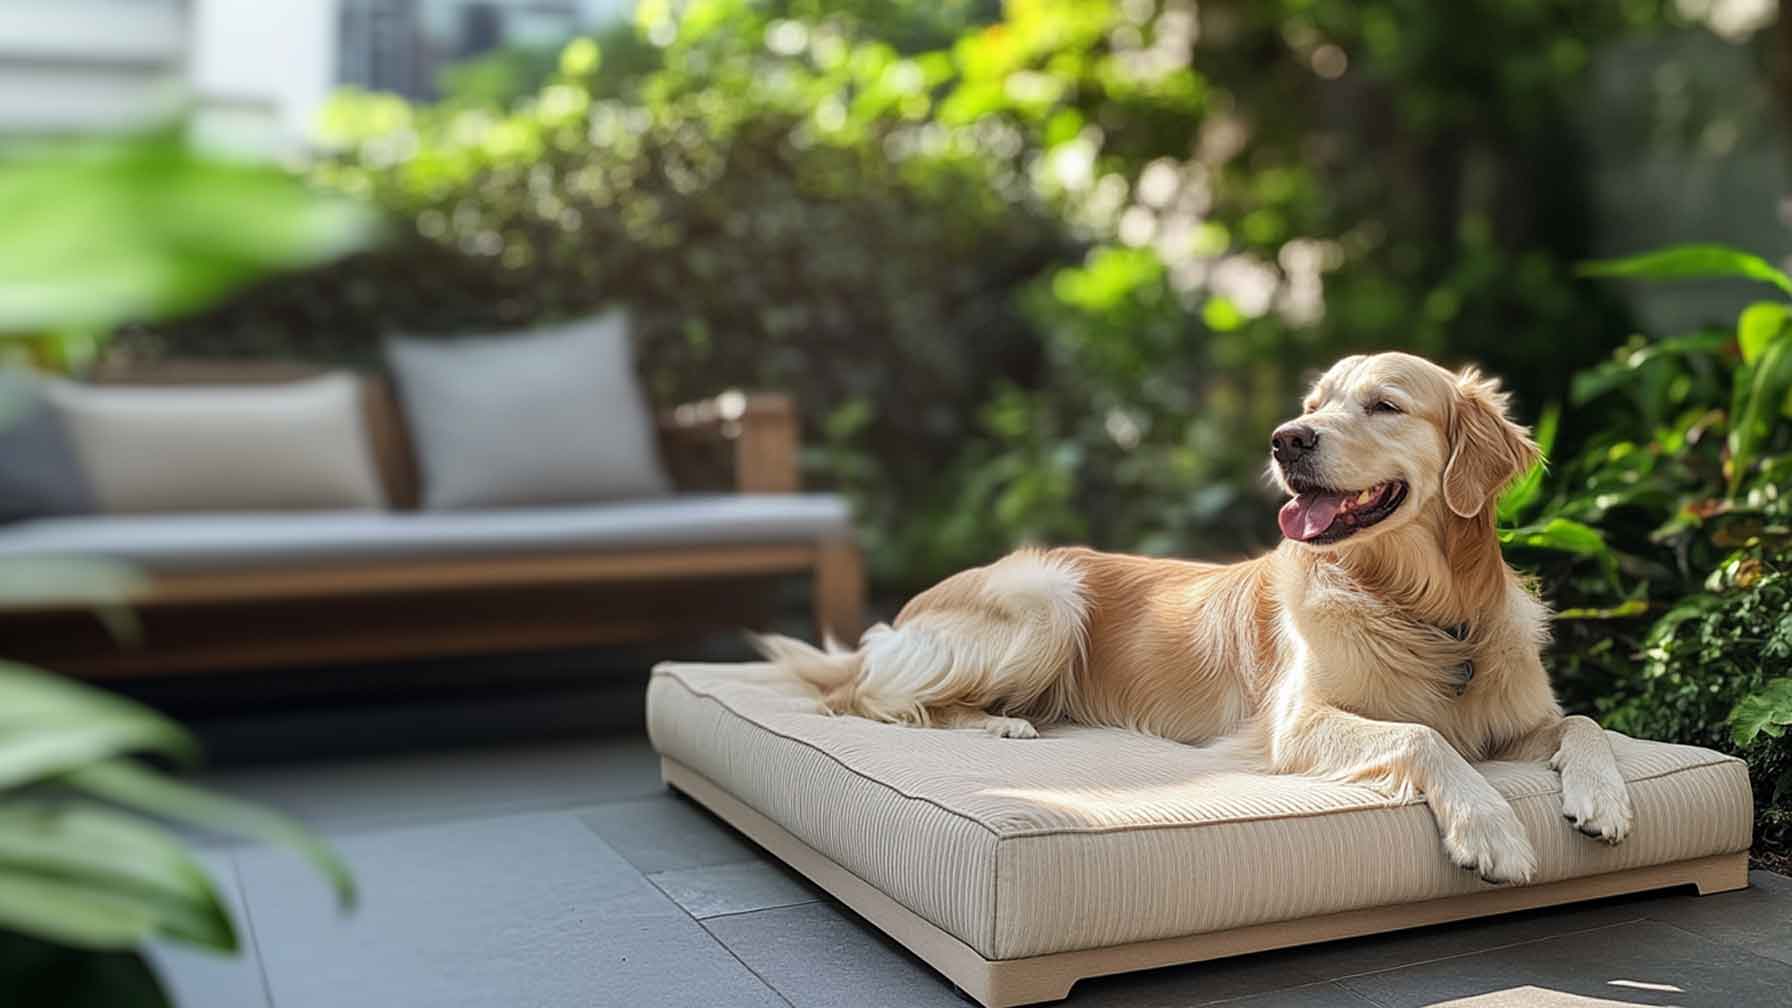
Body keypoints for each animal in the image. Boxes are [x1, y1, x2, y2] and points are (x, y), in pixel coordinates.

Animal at [756, 351, 1641, 878]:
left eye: (1385, 405)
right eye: (1314, 403)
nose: (1287, 439)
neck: (1423, 607)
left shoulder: (1518, 717)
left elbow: (1585, 721)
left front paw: (1603, 799)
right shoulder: (1297, 725)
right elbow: (1424, 736)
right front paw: (1490, 828)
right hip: (1048, 600)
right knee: (864, 698)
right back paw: (998, 723)